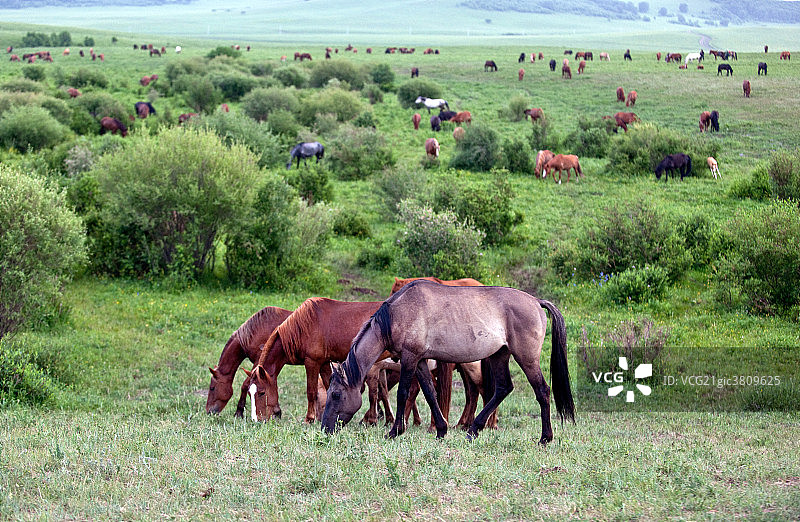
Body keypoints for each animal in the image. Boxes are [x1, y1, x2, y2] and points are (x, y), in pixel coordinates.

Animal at [320, 281, 575, 444]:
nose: (325, 429)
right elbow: (430, 393)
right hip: (499, 355)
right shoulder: (420, 361)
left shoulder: (409, 358)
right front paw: (441, 431)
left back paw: (545, 438)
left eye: (336, 394)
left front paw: (395, 431)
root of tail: (536, 302)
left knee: (542, 390)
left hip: (526, 358)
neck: (395, 315)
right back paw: (473, 430)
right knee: (503, 388)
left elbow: (403, 393)